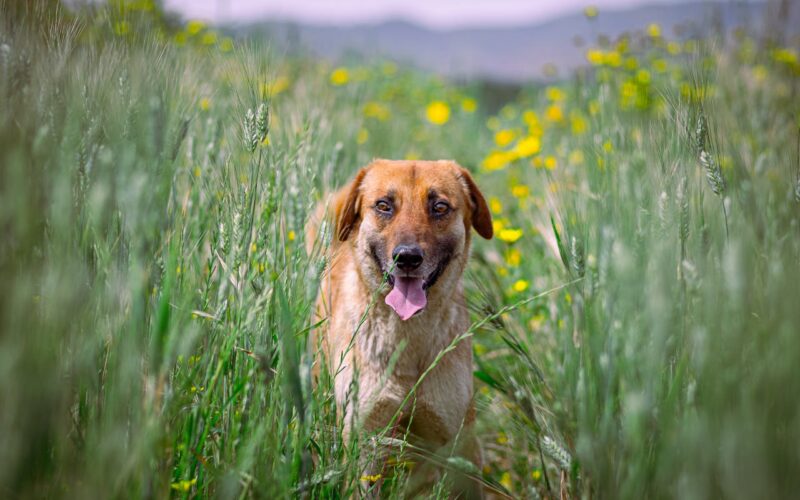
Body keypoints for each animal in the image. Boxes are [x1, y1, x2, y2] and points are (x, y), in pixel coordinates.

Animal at [306, 159, 494, 496]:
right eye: (384, 205)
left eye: (439, 206)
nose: (406, 257)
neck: (409, 344)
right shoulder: (366, 443)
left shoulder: (458, 444)